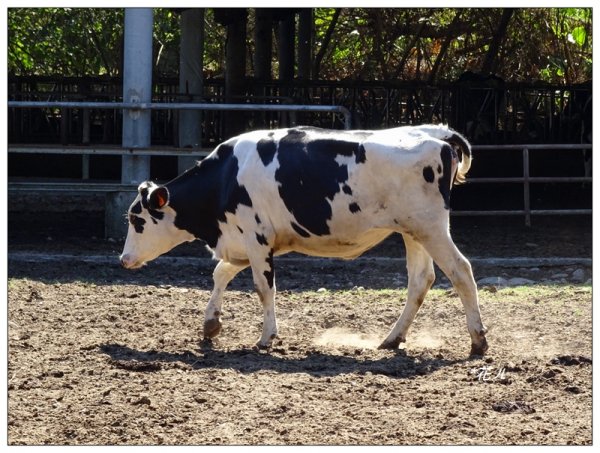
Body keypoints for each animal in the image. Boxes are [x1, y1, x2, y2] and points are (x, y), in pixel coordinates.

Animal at [120, 124, 488, 356]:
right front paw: (211, 324)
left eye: (137, 220)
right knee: (421, 279)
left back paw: (478, 341)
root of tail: (437, 133)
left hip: (431, 227)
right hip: (413, 232)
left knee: (461, 271)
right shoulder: (241, 241)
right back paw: (392, 339)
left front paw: (266, 338)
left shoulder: (256, 239)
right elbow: (221, 273)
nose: (123, 259)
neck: (226, 178)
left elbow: (263, 287)